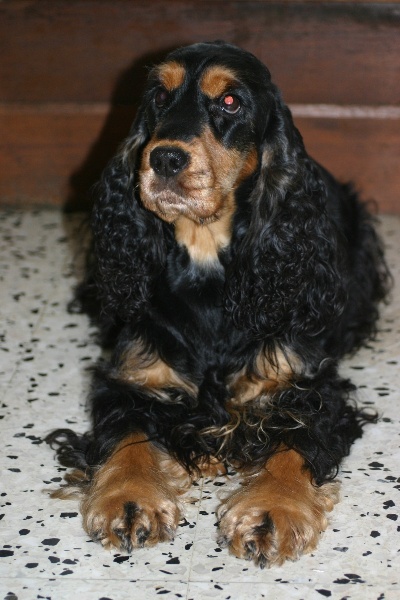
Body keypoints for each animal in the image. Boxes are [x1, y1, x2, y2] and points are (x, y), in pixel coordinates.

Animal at [45, 42, 390, 568]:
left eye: (230, 102)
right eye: (159, 96)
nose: (164, 158)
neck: (205, 261)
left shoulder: (310, 385)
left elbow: (297, 439)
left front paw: (273, 510)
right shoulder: (133, 374)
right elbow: (125, 432)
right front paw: (130, 497)